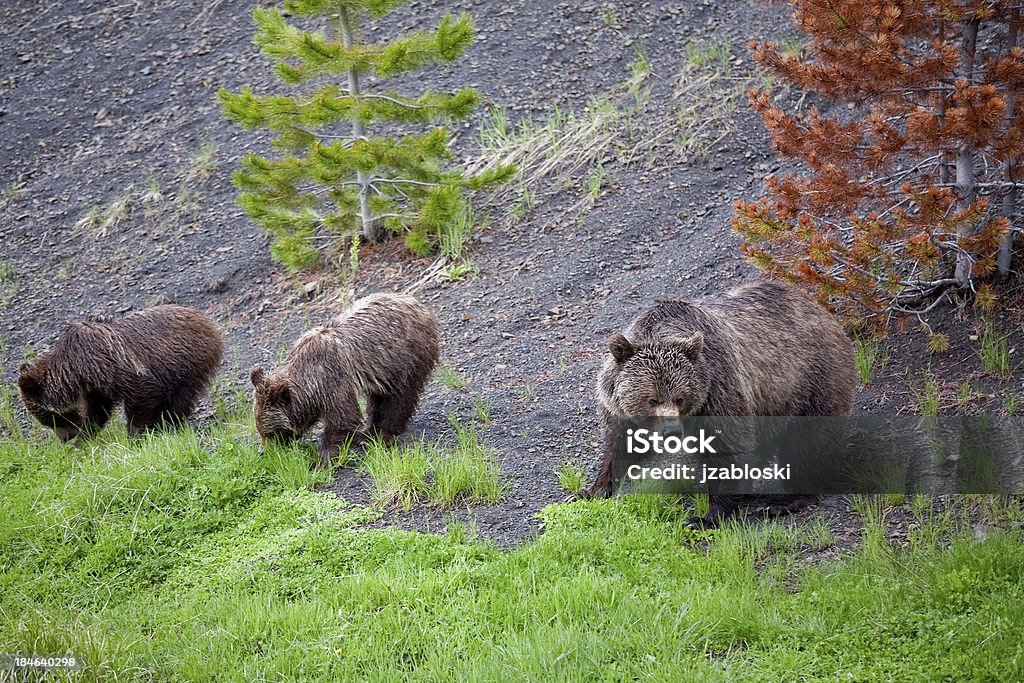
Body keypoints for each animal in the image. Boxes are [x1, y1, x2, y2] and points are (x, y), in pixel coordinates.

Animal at [17, 305, 226, 444]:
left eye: (49, 419)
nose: (65, 439)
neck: (75, 372)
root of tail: (207, 322)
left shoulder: (108, 363)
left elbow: (142, 392)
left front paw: (135, 435)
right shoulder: (96, 387)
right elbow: (96, 412)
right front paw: (83, 440)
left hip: (186, 361)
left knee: (179, 398)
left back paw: (169, 424)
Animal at [250, 294, 440, 464]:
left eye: (271, 433)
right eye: (260, 430)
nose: (263, 452)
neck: (309, 379)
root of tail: (420, 306)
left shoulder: (332, 375)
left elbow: (343, 417)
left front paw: (322, 459)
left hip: (407, 356)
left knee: (401, 396)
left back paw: (385, 433)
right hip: (383, 370)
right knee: (378, 397)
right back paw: (368, 431)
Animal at [585, 280, 856, 528]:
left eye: (680, 398)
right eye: (652, 399)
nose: (671, 432)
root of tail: (824, 312)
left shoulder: (717, 389)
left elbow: (729, 447)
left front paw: (706, 517)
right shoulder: (620, 411)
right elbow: (621, 446)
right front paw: (595, 490)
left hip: (810, 380)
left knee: (807, 441)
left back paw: (780, 502)